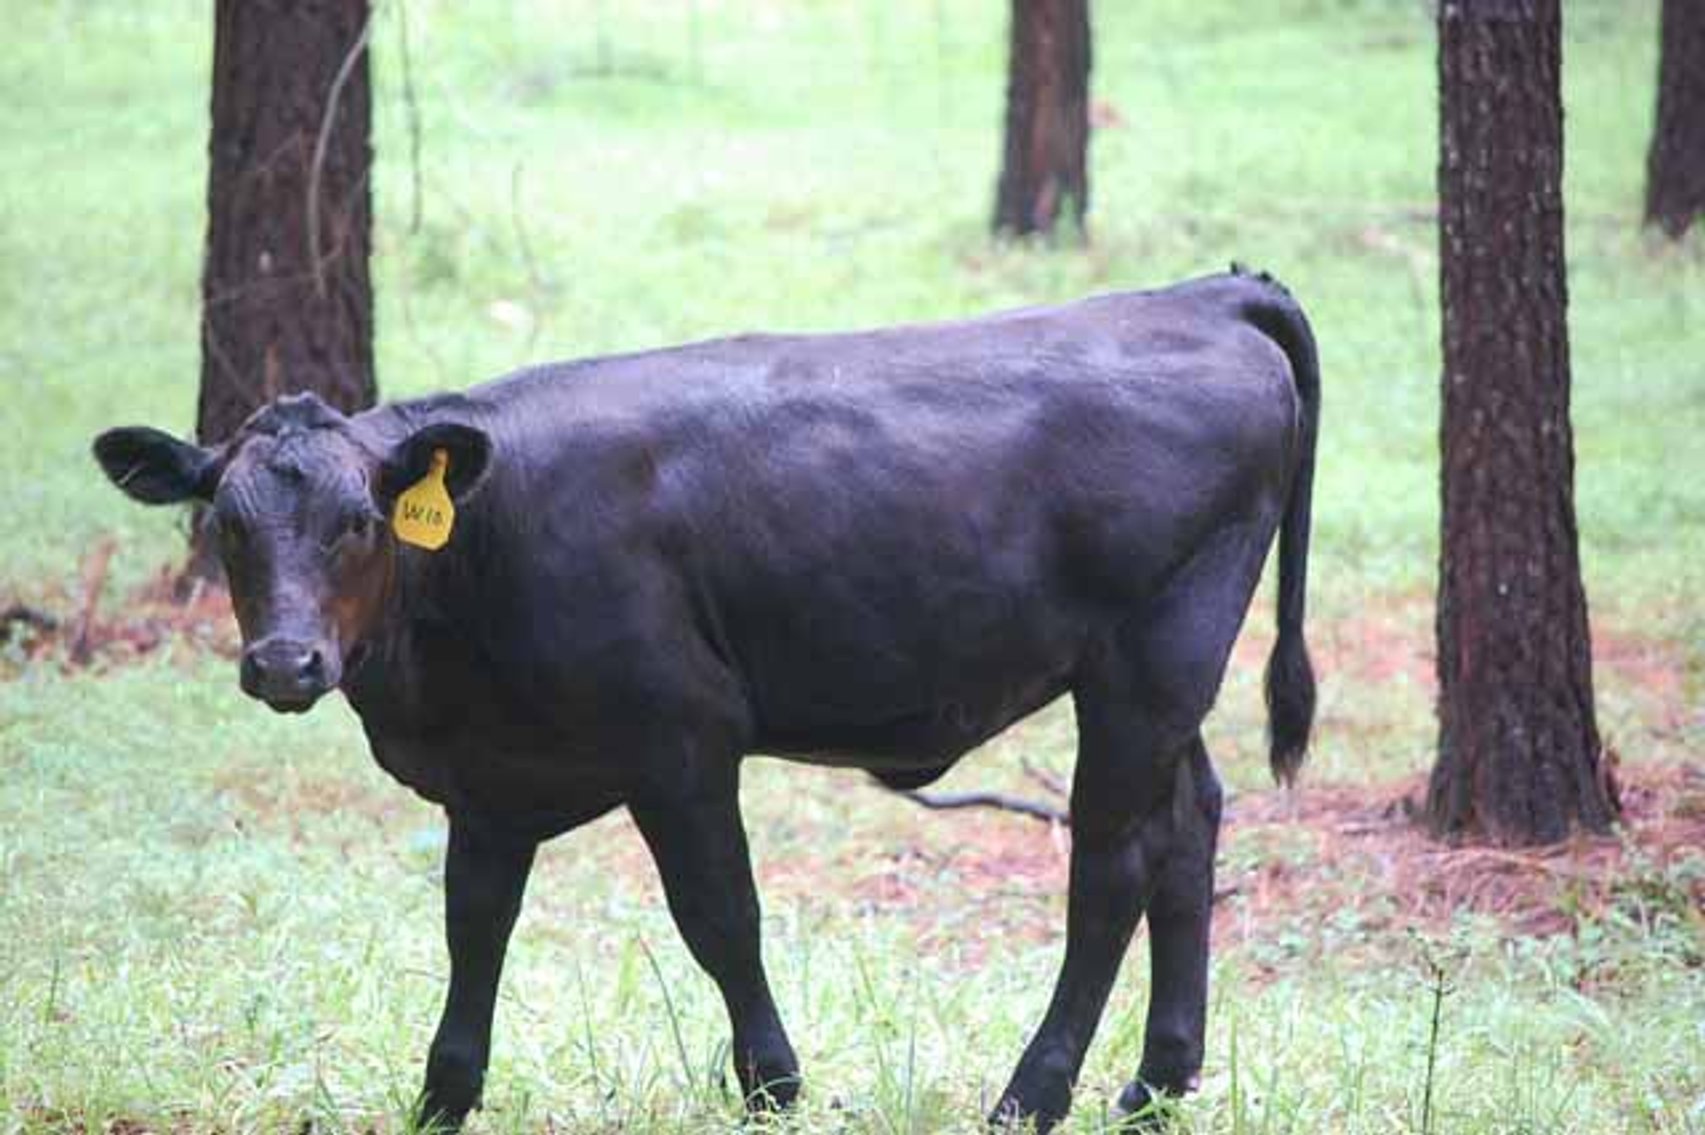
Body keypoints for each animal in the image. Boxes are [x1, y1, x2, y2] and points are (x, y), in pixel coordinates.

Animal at [93, 267, 1317, 1132]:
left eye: (359, 520)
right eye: (226, 523)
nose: (284, 662)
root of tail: (1202, 295)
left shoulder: (679, 739)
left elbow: (721, 915)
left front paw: (774, 1085)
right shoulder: (492, 778)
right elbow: (473, 926)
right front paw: (441, 1097)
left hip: (1146, 660)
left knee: (1109, 864)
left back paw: (1033, 1093)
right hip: (1165, 680)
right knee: (1188, 826)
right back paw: (1154, 1085)